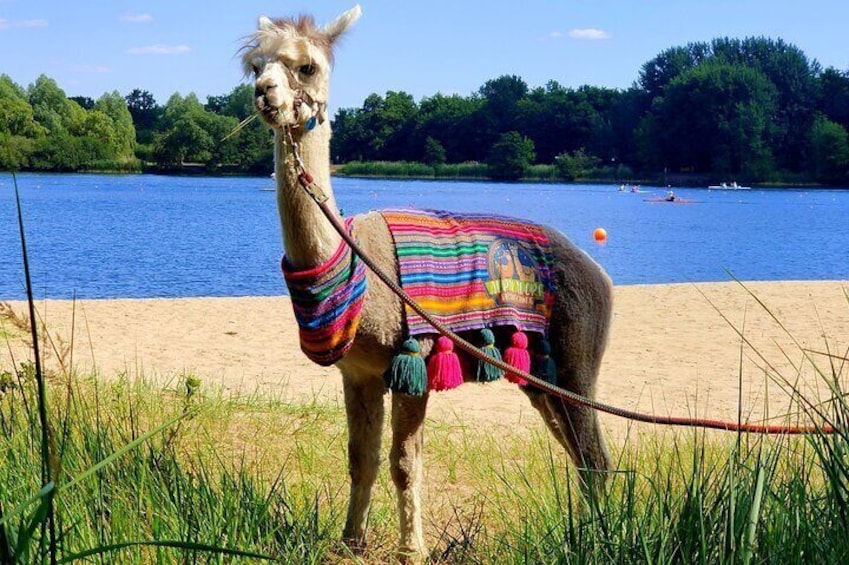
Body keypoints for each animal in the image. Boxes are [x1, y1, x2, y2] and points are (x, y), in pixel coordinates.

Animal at [242, 6, 613, 562]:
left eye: (306, 67)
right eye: (255, 66)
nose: (264, 93)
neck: (359, 266)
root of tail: (597, 270)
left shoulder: (412, 359)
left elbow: (404, 462)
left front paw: (410, 549)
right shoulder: (360, 372)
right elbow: (362, 458)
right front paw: (351, 541)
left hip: (577, 353)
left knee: (595, 457)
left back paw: (602, 539)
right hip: (542, 371)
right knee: (579, 453)